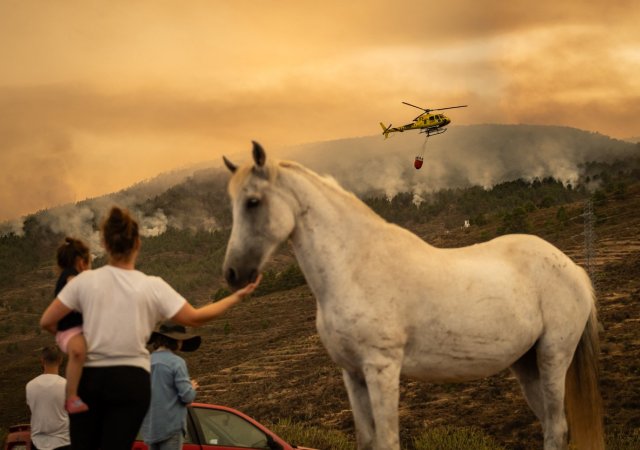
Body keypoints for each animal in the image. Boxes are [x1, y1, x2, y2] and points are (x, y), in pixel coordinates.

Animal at [222, 143, 604, 450]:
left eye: (253, 202)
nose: (233, 274)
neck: (355, 266)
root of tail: (574, 269)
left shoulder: (382, 369)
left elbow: (388, 442)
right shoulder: (353, 375)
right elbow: (368, 441)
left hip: (553, 356)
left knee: (557, 428)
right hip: (526, 364)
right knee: (551, 427)